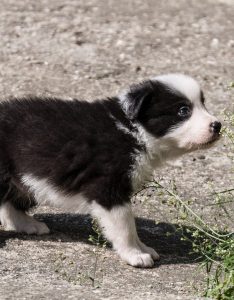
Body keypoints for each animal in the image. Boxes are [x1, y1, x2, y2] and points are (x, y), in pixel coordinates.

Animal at [0, 74, 221, 268]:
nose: (218, 125)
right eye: (183, 110)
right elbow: (126, 226)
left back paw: (29, 225)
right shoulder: (108, 188)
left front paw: (144, 249)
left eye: (203, 103)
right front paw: (135, 254)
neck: (132, 130)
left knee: (10, 204)